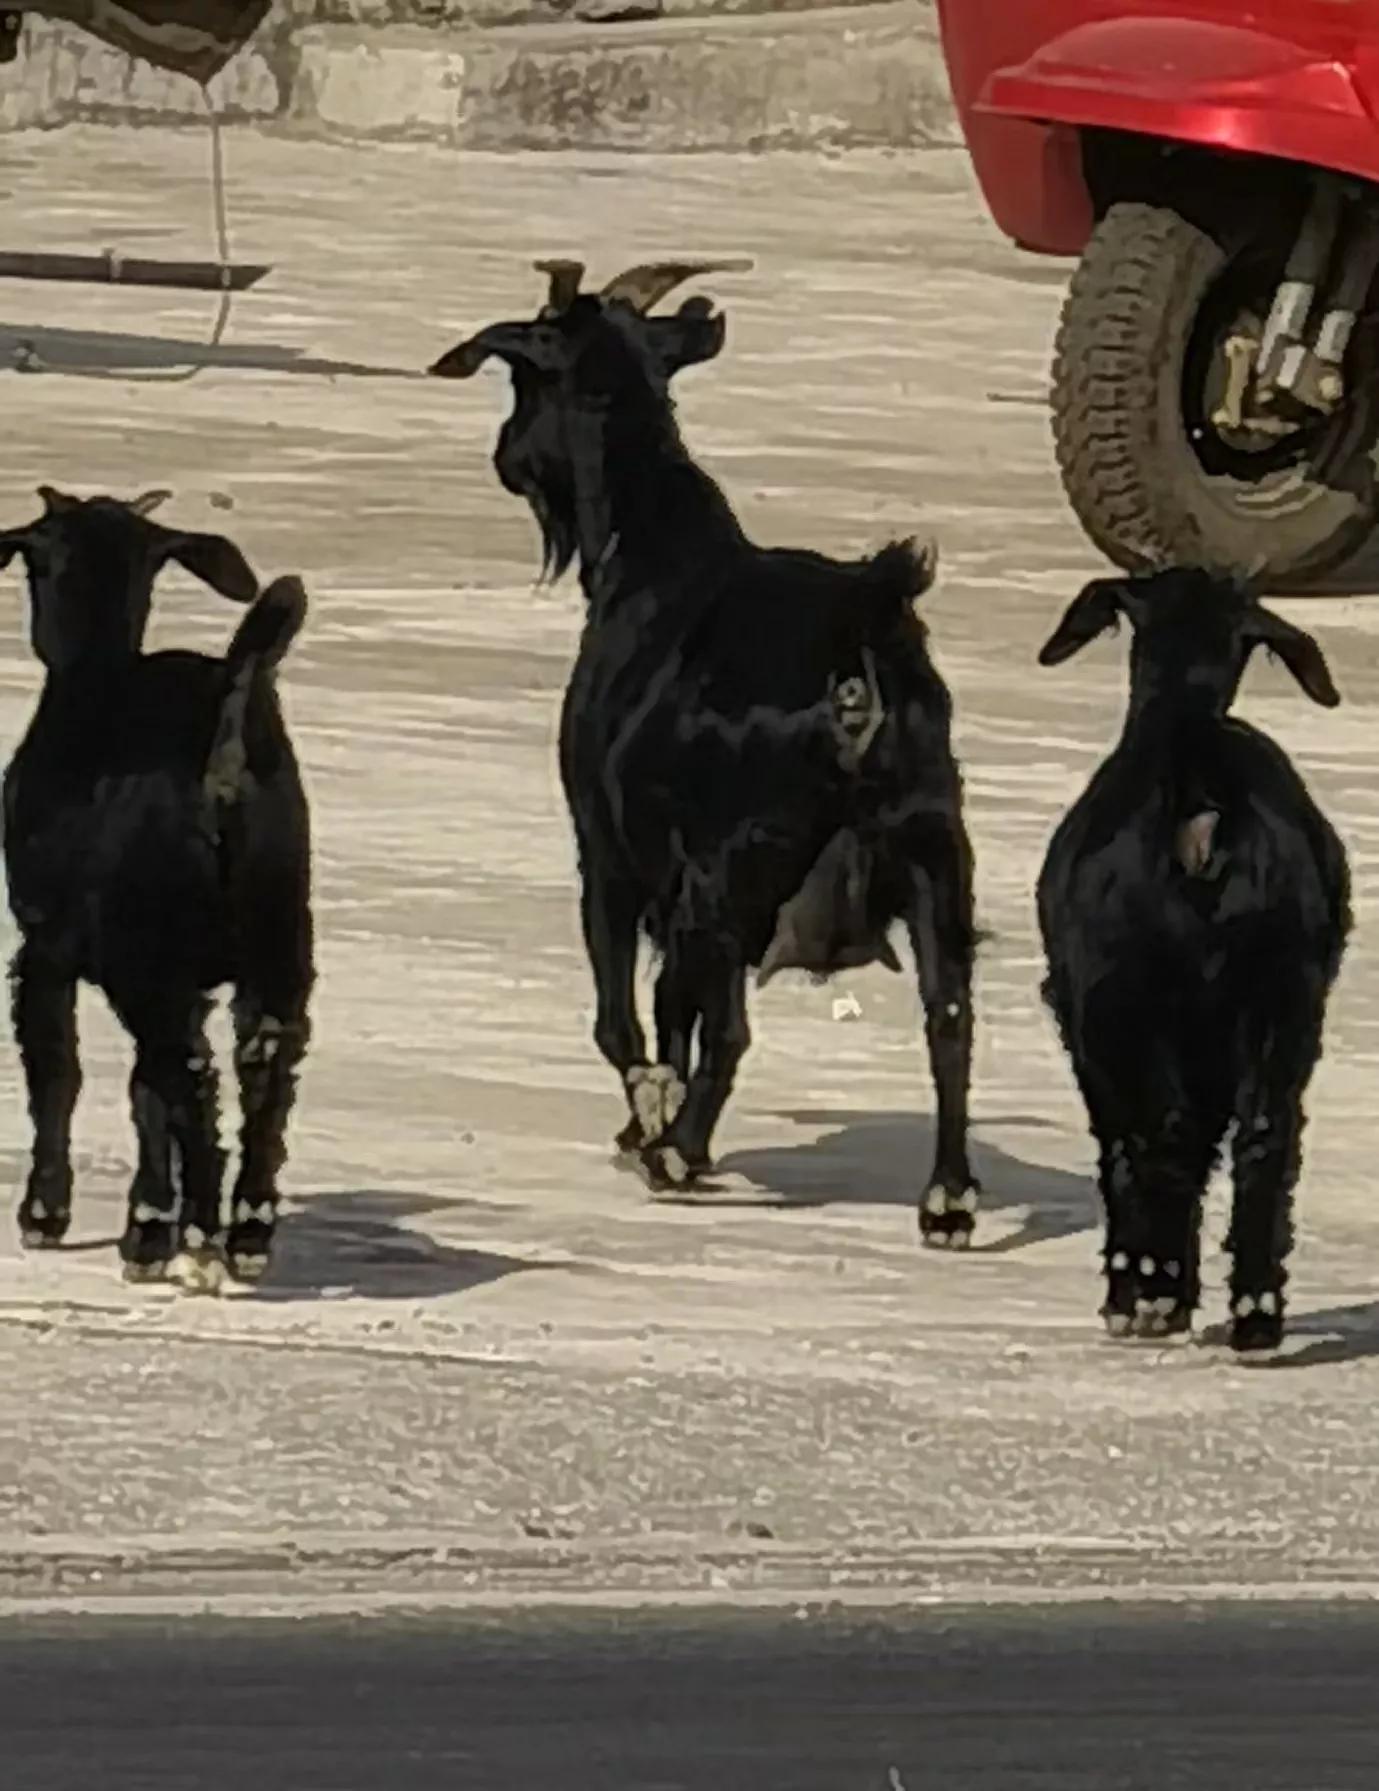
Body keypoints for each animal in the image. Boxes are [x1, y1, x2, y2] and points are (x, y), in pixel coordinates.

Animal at [1, 483, 313, 1289]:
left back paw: (195, 1233)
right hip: (279, 939)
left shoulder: (46, 948)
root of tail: (224, 760)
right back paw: (244, 1230)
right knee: (261, 1057)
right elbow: (141, 1092)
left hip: (149, 957)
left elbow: (58, 1069)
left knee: (188, 1070)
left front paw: (49, 1214)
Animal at [429, 261, 974, 1246]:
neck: (650, 541)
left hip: (738, 870)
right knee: (946, 1016)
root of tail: (862, 631)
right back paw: (947, 1197)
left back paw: (677, 1152)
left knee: (731, 1029)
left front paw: (649, 1119)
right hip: (932, 852)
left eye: (525, 380)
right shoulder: (676, 891)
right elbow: (669, 1006)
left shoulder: (611, 858)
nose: (504, 455)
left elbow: (627, 1018)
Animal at [1031, 565, 1346, 1346]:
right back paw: (1255, 1314)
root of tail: (1201, 805)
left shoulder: (1091, 1027)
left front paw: (1137, 1292)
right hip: (1282, 995)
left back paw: (1150, 1290)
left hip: (1129, 1001)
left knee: (1161, 1140)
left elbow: (1122, 1149)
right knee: (1265, 1137)